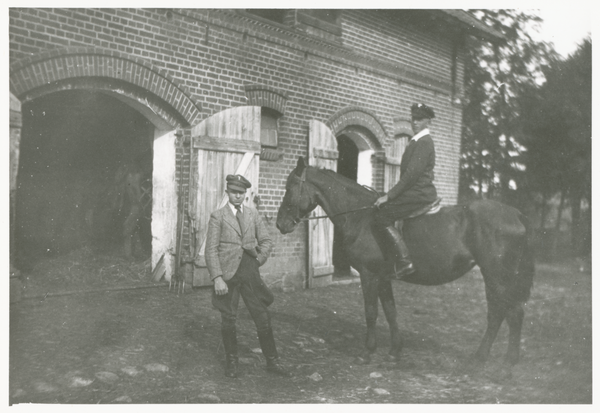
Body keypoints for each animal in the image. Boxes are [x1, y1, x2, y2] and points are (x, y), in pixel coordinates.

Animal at [276, 155, 536, 374]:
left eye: (290, 188)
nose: (280, 225)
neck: (361, 217)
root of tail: (517, 214)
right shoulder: (383, 278)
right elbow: (391, 313)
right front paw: (394, 352)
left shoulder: (369, 275)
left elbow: (371, 313)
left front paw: (367, 353)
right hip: (496, 277)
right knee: (503, 313)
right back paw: (488, 360)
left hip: (497, 276)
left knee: (507, 314)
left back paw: (499, 365)